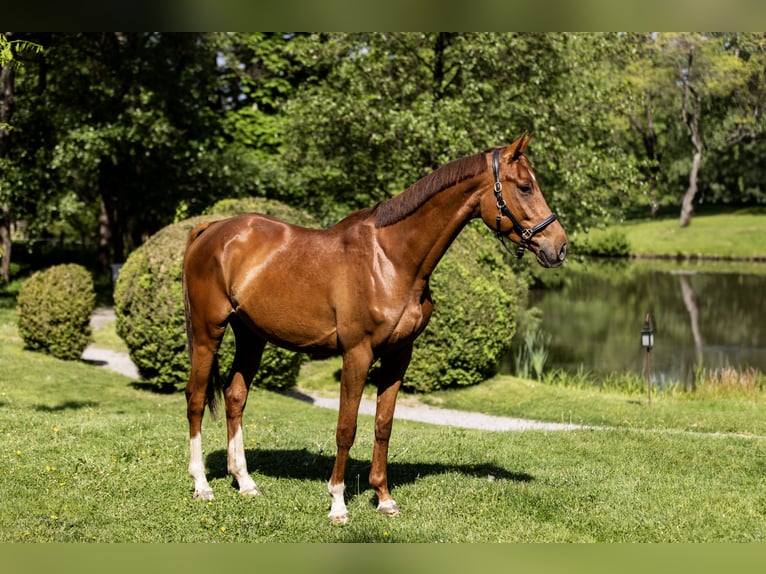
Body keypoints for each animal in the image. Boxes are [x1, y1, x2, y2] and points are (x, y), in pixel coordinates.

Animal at [183, 133, 568, 524]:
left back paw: (245, 482)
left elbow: (383, 424)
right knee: (195, 399)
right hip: (208, 334)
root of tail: (210, 230)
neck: (391, 259)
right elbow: (346, 427)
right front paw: (338, 503)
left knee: (235, 397)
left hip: (251, 336)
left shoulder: (399, 354)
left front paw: (384, 498)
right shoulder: (357, 353)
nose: (559, 246)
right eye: (525, 187)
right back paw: (202, 485)